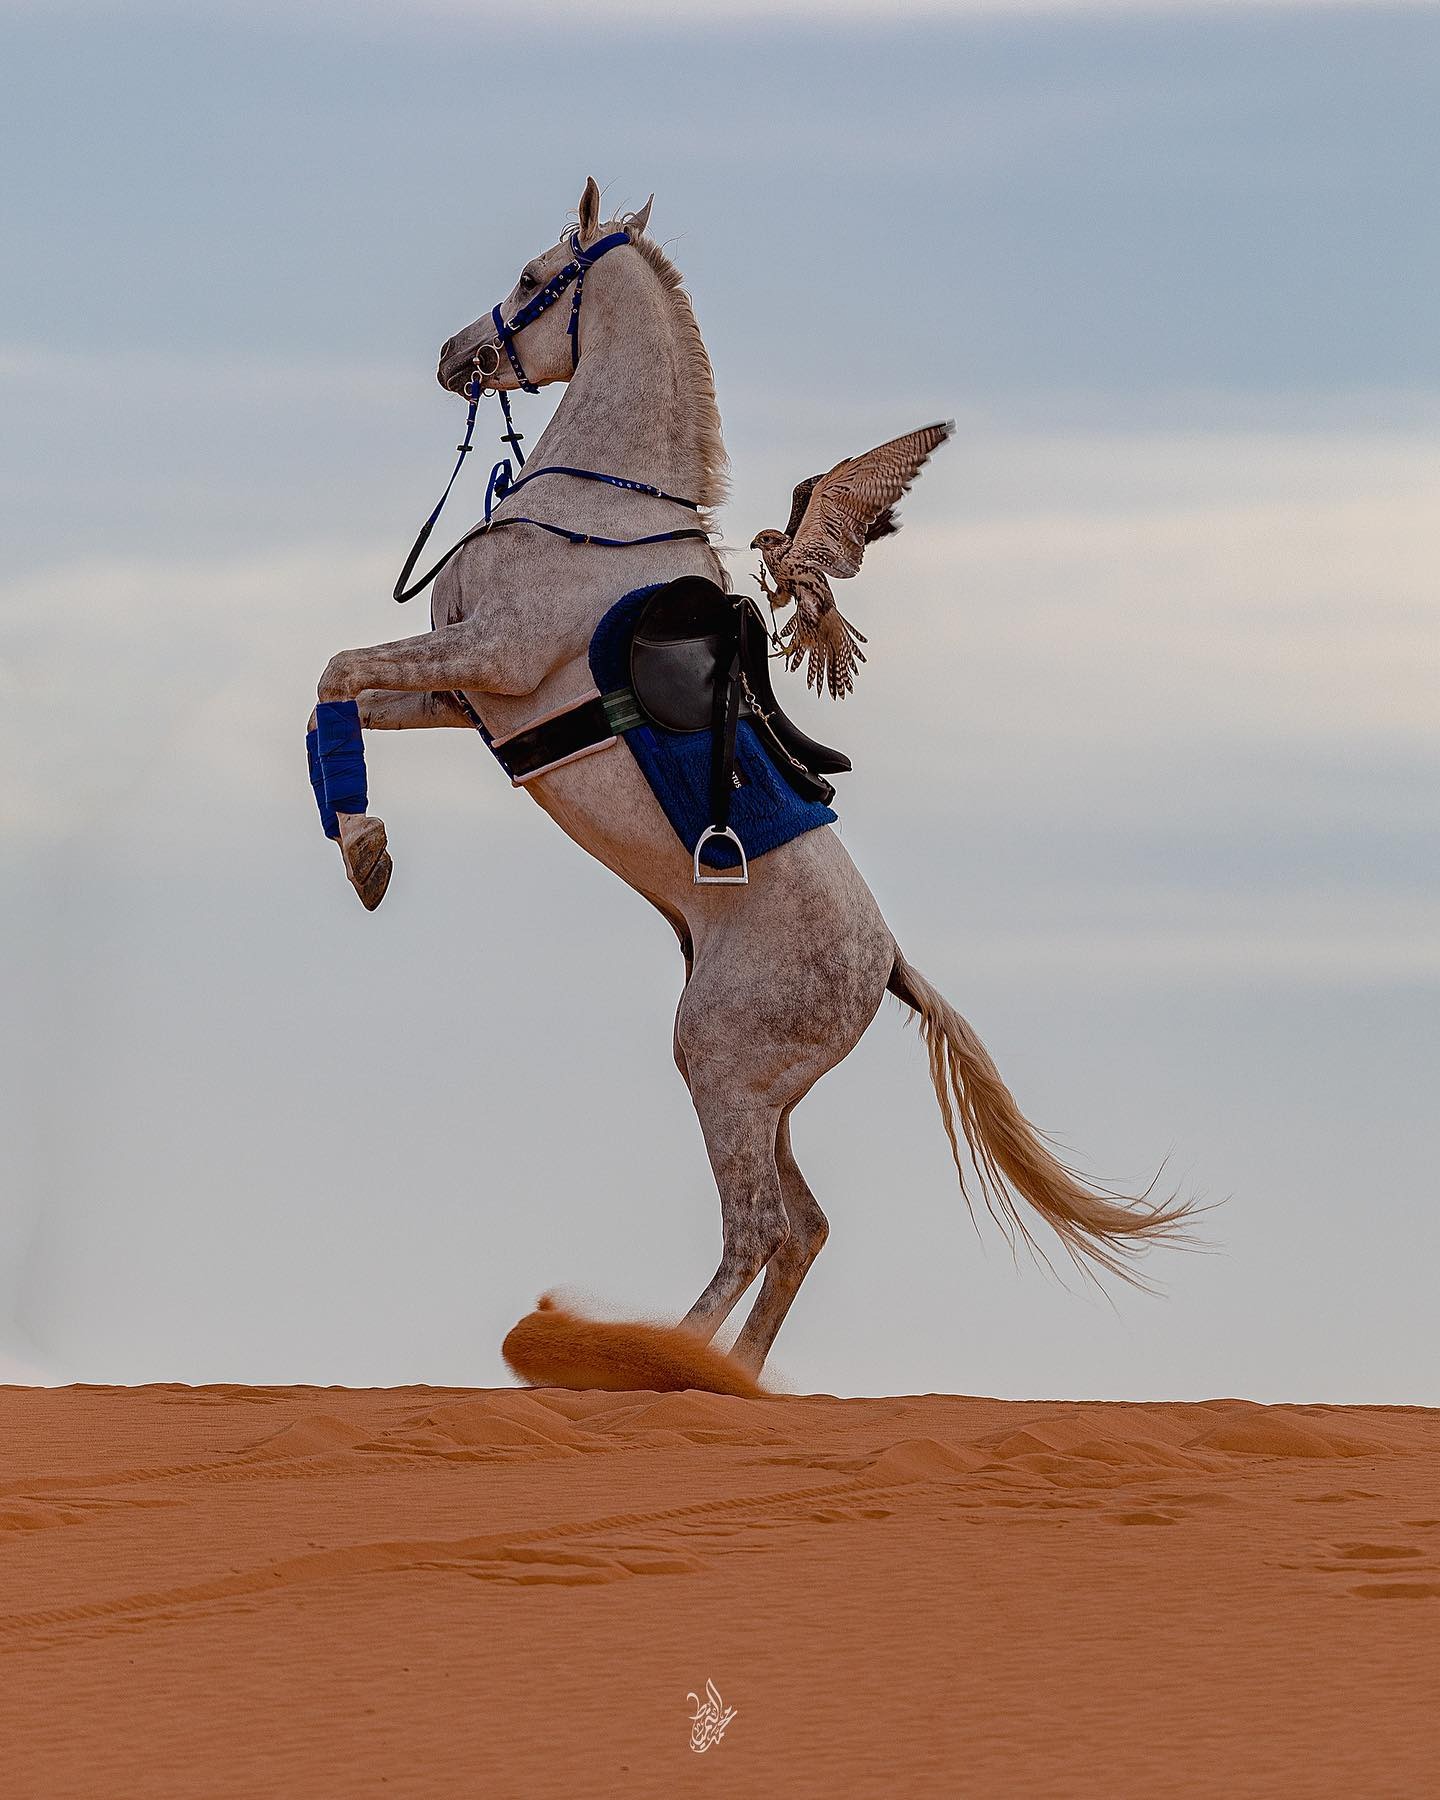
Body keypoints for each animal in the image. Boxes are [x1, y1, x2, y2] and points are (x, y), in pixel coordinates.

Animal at [311, 178, 1194, 1379]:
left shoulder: (494, 661)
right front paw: (364, 842)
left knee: (760, 1228)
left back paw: (661, 1362)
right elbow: (340, 688)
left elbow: (338, 669)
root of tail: (888, 966)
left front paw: (363, 851)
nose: (455, 357)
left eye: (536, 274)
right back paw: (730, 1380)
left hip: (720, 1066)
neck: (599, 514)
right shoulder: (464, 696)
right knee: (803, 1228)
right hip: (765, 1093)